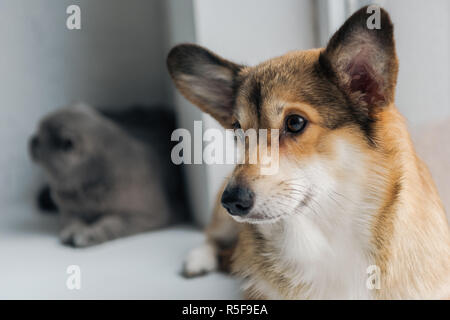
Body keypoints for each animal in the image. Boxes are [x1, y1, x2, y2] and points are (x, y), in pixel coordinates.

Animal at [27, 103, 179, 248]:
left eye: (39, 140)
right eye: (36, 136)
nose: (31, 140)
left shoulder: (145, 215)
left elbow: (111, 223)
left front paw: (89, 235)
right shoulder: (68, 211)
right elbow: (72, 221)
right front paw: (72, 232)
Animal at [167, 6, 448, 298]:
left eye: (295, 123)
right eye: (238, 130)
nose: (231, 201)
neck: (326, 239)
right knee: (211, 235)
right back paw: (197, 260)